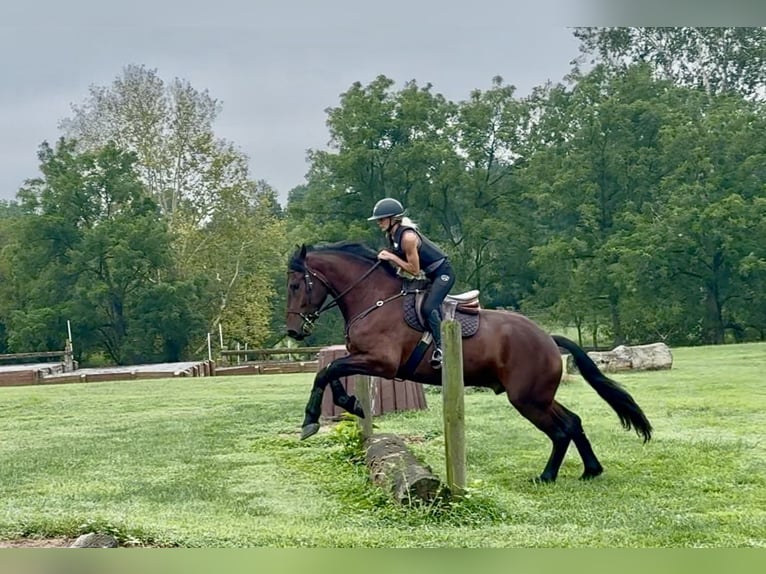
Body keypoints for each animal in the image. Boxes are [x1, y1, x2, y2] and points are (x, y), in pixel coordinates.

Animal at [285, 241, 652, 483]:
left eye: (295, 285)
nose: (293, 331)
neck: (374, 299)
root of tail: (548, 338)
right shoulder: (362, 359)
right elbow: (330, 372)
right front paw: (352, 404)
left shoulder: (380, 363)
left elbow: (327, 371)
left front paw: (311, 421)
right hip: (539, 396)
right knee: (573, 421)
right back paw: (591, 470)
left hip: (527, 399)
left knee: (561, 430)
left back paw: (547, 476)